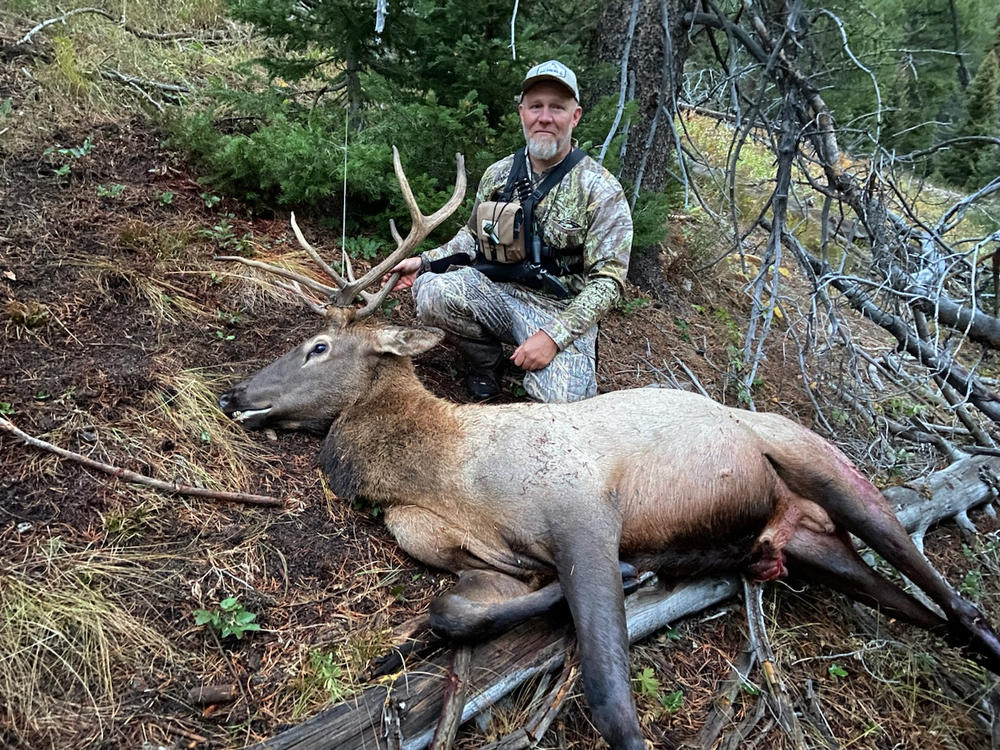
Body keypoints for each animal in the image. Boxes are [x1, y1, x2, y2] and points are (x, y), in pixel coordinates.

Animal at [217, 148, 1000, 750]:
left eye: (319, 346)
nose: (232, 393)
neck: (446, 479)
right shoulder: (460, 548)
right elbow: (452, 612)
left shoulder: (584, 512)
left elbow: (611, 696)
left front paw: (627, 582)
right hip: (811, 545)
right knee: (921, 609)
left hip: (824, 465)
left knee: (950, 595)